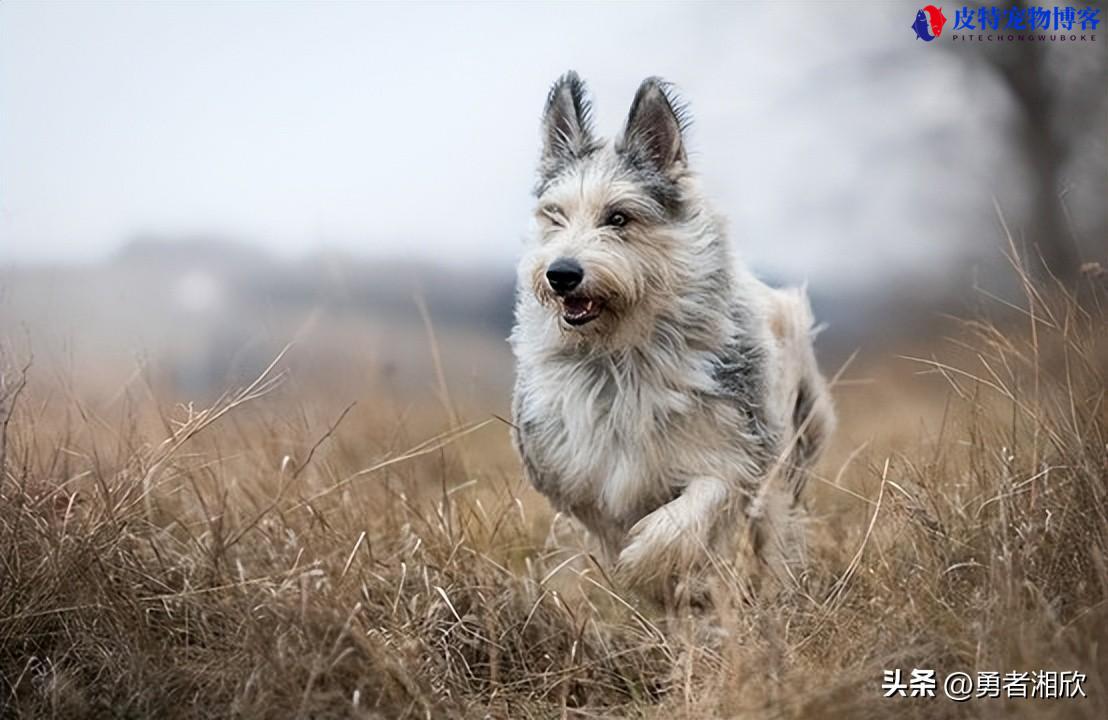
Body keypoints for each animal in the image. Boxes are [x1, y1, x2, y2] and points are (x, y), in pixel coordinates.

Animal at [509, 71, 833, 598]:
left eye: (618, 217)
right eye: (555, 216)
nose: (561, 274)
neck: (621, 357)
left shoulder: (736, 449)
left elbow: (697, 504)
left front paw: (651, 564)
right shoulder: (580, 473)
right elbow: (605, 525)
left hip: (791, 445)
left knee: (777, 524)